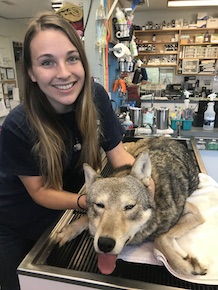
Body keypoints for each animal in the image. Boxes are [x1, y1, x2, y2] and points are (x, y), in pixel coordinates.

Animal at [55, 138, 207, 276]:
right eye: (99, 205)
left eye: (129, 206)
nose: (105, 244)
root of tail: (171, 139)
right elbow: (85, 218)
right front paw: (70, 230)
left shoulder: (195, 213)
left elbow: (159, 238)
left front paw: (187, 265)